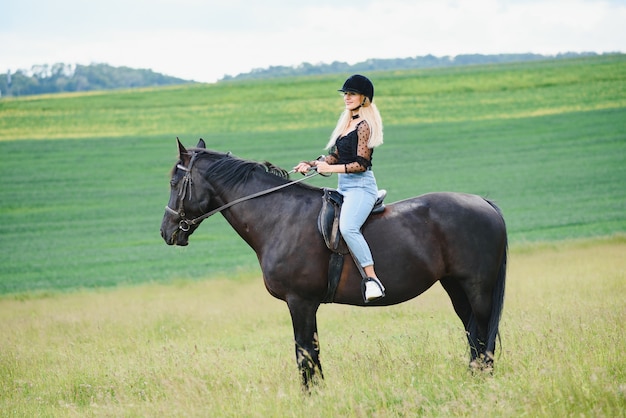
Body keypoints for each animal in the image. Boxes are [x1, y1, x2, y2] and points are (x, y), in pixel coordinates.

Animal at [161, 139, 508, 386]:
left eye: (174, 183)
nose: (167, 231)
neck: (279, 216)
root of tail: (484, 203)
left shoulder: (300, 302)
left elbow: (304, 354)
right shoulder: (305, 304)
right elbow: (312, 353)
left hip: (478, 289)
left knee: (482, 336)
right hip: (455, 288)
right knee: (473, 333)